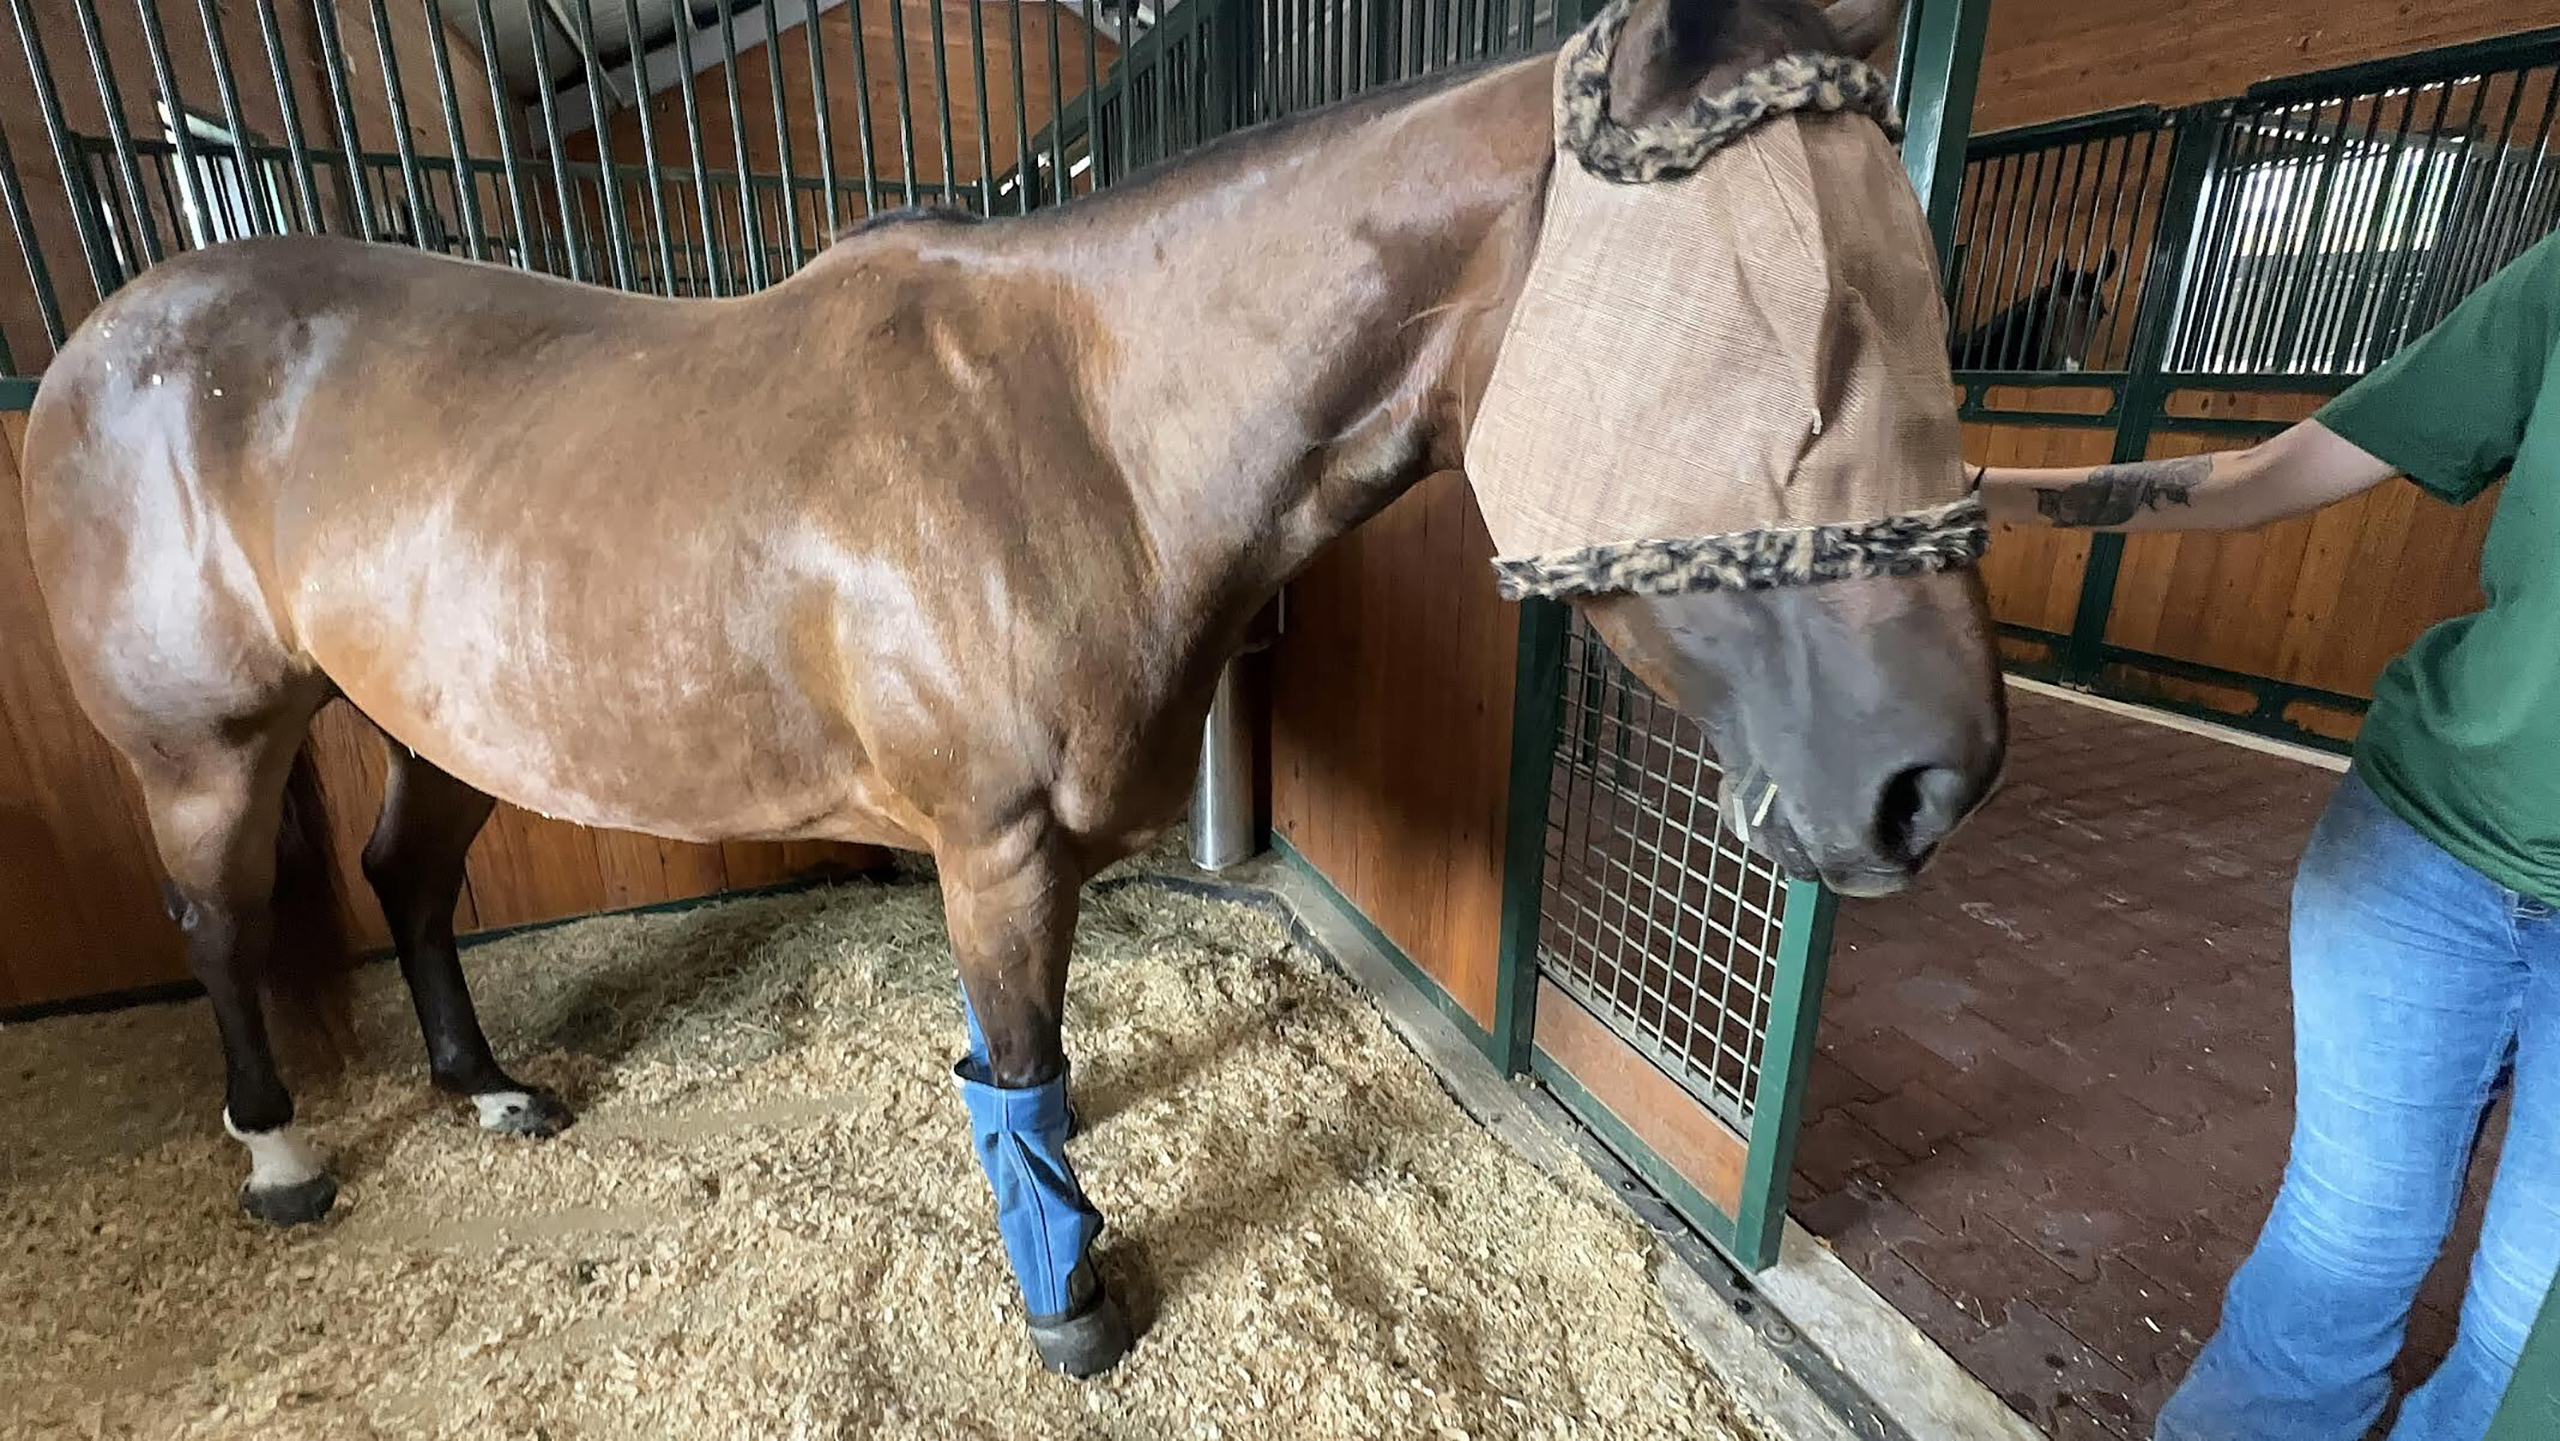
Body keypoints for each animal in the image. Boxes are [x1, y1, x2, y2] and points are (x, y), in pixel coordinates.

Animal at [19, 0, 2001, 1376]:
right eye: (1775, 323)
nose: (1939, 778)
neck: (1078, 430)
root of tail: (106, 343)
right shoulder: (993, 847)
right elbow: (1020, 1072)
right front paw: (1072, 1305)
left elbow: (1042, 1062)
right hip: (208, 748)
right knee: (218, 923)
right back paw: (283, 1163)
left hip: (433, 715)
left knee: (407, 879)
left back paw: (486, 1091)